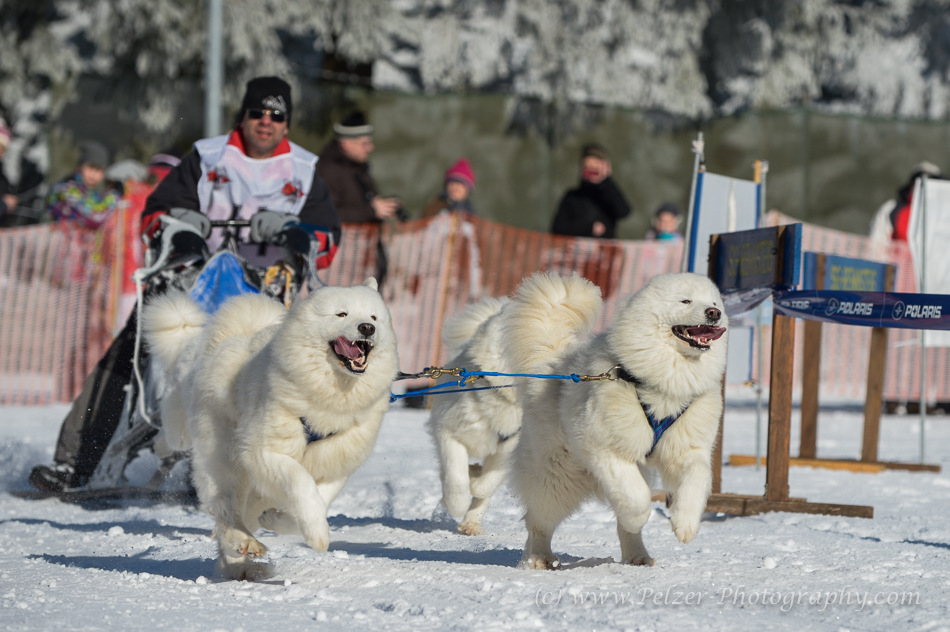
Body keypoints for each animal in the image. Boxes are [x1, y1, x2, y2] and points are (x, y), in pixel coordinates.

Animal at [143, 278, 400, 580]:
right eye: (341, 314)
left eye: (374, 317)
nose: (367, 328)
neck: (330, 400)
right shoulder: (264, 453)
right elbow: (301, 482)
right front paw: (317, 534)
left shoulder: (335, 461)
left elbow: (320, 499)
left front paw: (282, 520)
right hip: (226, 460)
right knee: (226, 507)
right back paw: (242, 545)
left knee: (235, 516)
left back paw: (240, 561)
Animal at [428, 284, 600, 536]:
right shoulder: (448, 432)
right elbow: (456, 479)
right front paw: (458, 494)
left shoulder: (510, 447)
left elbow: (485, 486)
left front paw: (476, 479)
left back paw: (472, 522)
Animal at [512, 270, 728, 568]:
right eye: (685, 301)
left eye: (715, 302)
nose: (714, 313)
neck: (665, 382)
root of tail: (550, 364)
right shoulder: (605, 447)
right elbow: (637, 499)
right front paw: (637, 519)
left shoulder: (689, 450)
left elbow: (695, 483)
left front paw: (685, 525)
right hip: (556, 475)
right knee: (538, 521)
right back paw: (537, 559)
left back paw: (639, 556)